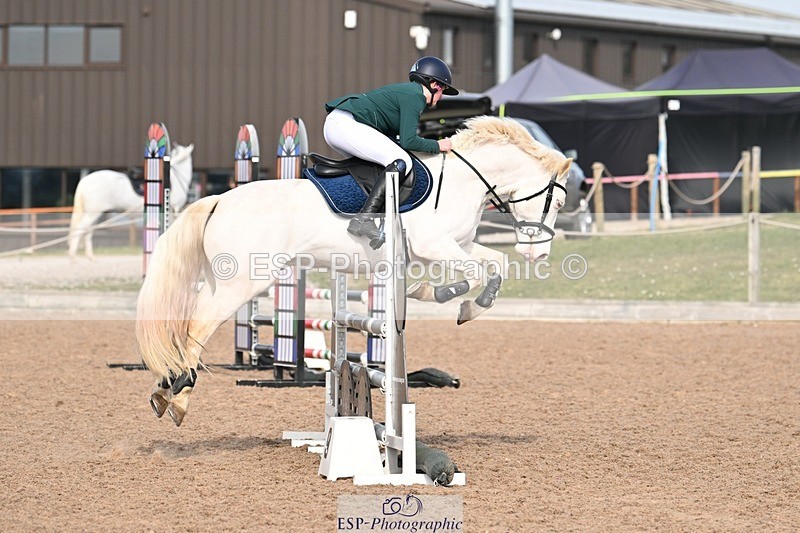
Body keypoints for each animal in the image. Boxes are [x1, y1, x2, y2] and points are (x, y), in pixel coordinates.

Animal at [136, 116, 571, 426]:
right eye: (559, 203)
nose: (538, 254)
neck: (463, 182)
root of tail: (219, 200)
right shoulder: (434, 247)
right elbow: (473, 275)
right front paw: (435, 294)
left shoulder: (456, 246)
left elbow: (495, 266)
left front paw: (468, 308)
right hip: (243, 283)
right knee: (195, 329)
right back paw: (179, 396)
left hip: (223, 280)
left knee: (187, 327)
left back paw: (164, 390)